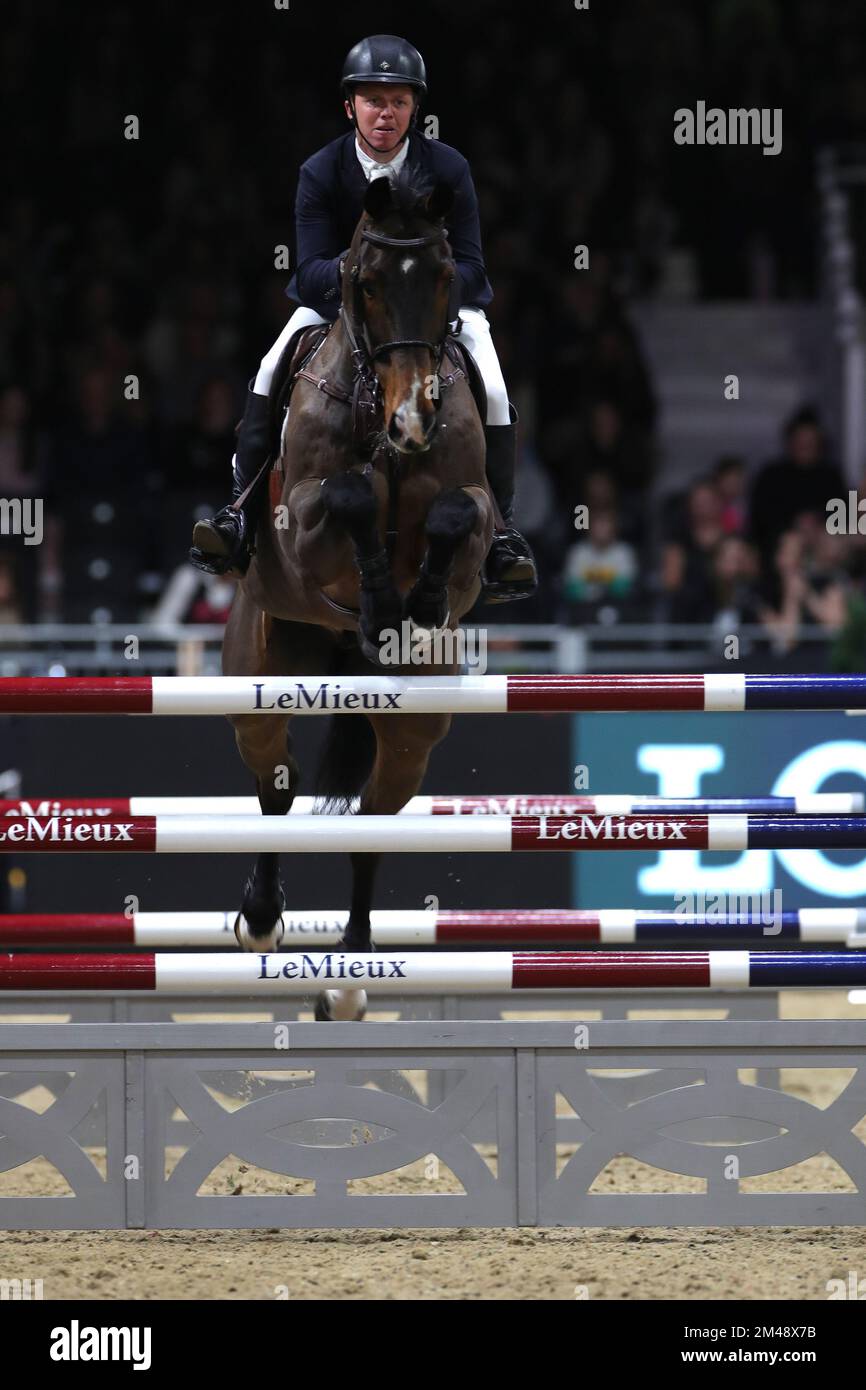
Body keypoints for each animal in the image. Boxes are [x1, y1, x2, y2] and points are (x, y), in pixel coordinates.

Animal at [223, 173, 494, 1023]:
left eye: (442, 277)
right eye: (366, 284)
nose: (413, 420)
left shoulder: (474, 516)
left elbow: (456, 516)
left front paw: (414, 605)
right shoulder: (301, 522)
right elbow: (348, 496)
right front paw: (378, 601)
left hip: (411, 733)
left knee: (374, 821)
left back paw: (350, 968)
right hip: (259, 679)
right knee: (276, 791)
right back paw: (262, 919)